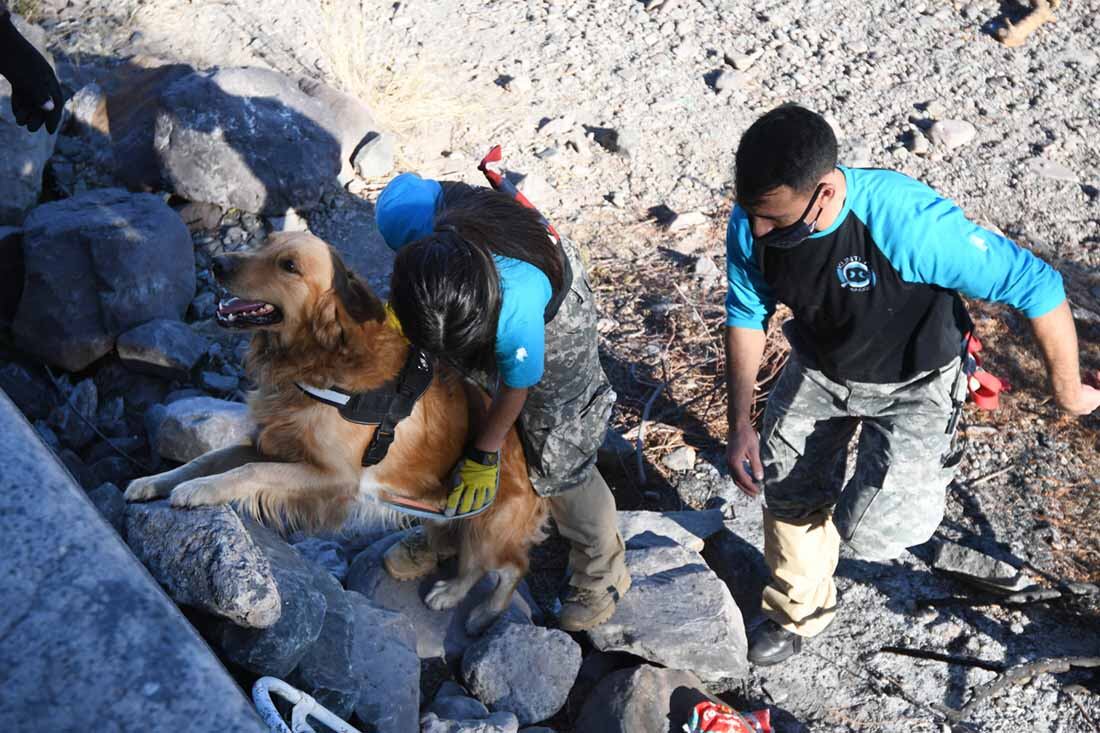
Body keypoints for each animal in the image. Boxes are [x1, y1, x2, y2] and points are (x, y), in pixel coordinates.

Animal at [126, 231, 547, 629]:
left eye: (289, 266)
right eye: (266, 243)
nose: (217, 263)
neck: (317, 361)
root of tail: (534, 475)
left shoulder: (335, 478)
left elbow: (248, 471)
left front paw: (198, 491)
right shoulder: (271, 443)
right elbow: (206, 460)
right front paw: (156, 482)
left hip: (483, 525)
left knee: (508, 566)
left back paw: (468, 604)